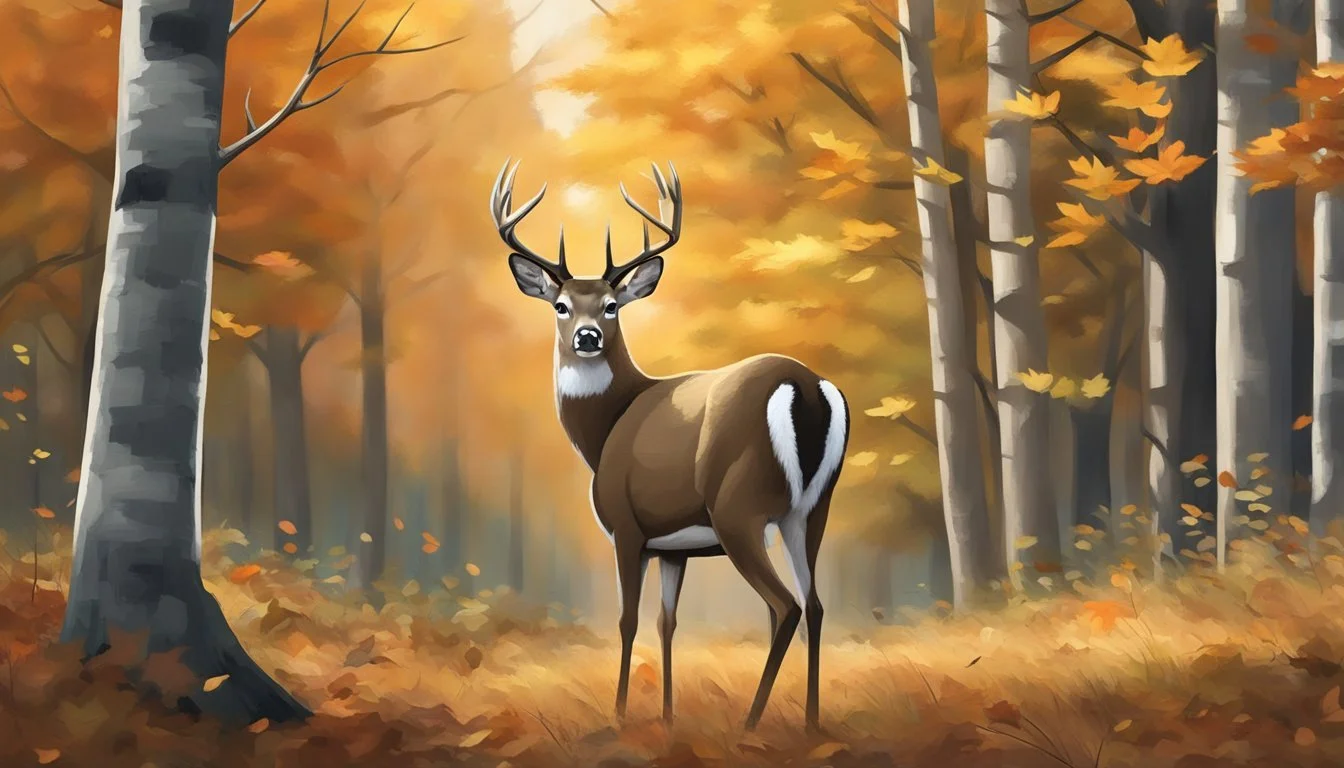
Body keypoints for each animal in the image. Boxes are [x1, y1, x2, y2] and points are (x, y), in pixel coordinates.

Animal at [489, 159, 849, 732]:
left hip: (740, 507)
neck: (604, 429)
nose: (587, 337)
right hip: (812, 509)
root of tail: (808, 387)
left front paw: (618, 715)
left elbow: (627, 621)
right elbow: (666, 621)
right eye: (562, 305)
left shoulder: (626, 526)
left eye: (612, 306)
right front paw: (666, 717)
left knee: (785, 606)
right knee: (814, 605)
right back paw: (812, 723)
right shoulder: (673, 548)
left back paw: (750, 723)